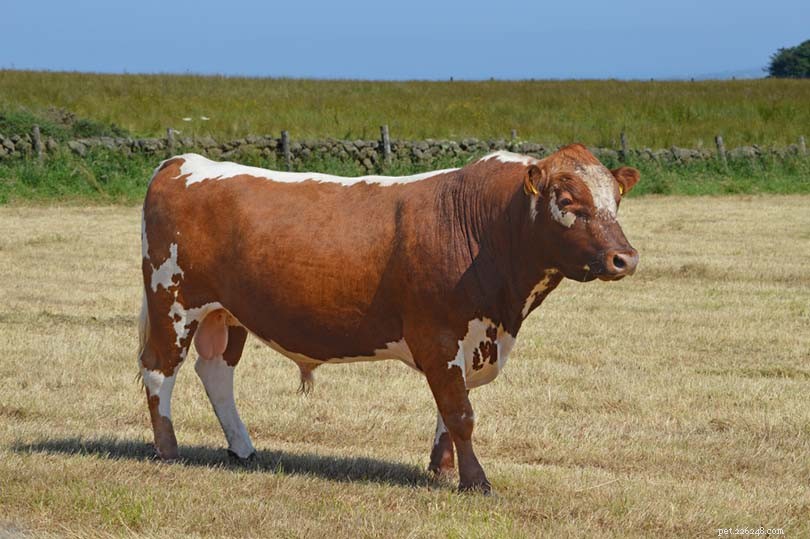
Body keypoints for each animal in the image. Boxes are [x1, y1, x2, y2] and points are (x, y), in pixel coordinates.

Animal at [138, 144, 639, 493]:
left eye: (616, 199)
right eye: (566, 199)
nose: (625, 258)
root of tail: (183, 162)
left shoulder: (468, 342)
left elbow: (447, 411)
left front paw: (442, 470)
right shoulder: (438, 337)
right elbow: (460, 412)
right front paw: (475, 482)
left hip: (227, 314)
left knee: (215, 371)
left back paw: (243, 449)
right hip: (173, 300)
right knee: (160, 371)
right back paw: (169, 450)